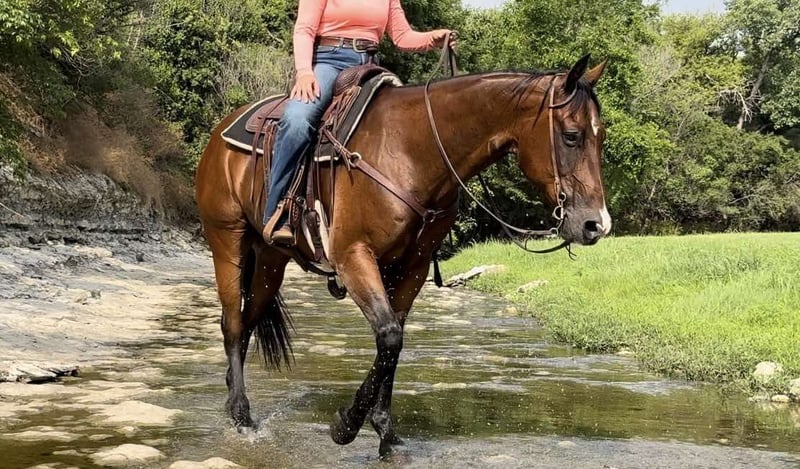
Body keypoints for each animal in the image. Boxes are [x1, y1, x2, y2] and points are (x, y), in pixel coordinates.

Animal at [195, 54, 611, 457]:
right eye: (572, 136)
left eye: (601, 135)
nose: (596, 225)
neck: (413, 152)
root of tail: (221, 131)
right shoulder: (353, 257)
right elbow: (390, 336)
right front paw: (345, 425)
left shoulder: (412, 267)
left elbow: (394, 341)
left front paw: (385, 432)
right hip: (227, 242)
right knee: (233, 323)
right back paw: (242, 416)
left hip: (270, 261)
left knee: (248, 320)